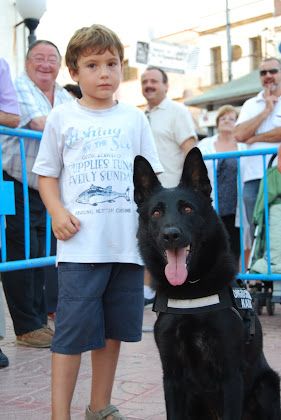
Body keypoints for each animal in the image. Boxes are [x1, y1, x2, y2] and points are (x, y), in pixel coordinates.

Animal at [132, 148, 278, 420]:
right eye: (156, 213)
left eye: (188, 209)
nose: (171, 235)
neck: (191, 291)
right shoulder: (172, 379)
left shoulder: (231, 378)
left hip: (269, 384)